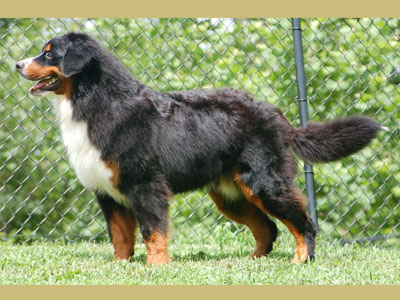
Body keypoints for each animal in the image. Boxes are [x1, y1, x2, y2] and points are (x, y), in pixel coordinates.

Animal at [16, 31, 384, 264]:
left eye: (49, 52)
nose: (17, 64)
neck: (94, 101)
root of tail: (276, 114)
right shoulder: (108, 192)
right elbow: (120, 236)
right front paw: (121, 267)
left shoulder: (145, 185)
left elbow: (152, 231)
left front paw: (156, 267)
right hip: (231, 195)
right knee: (268, 227)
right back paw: (251, 263)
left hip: (263, 183)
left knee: (303, 223)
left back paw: (301, 259)